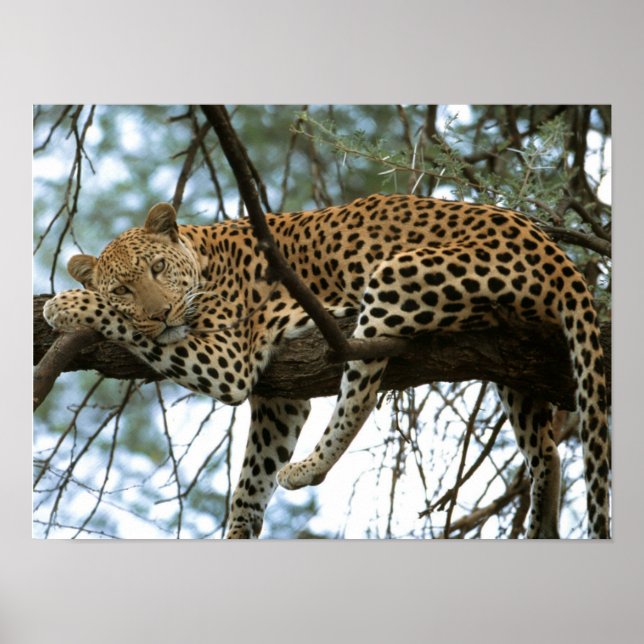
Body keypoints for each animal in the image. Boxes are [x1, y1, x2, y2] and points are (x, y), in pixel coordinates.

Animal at [43, 193, 611, 539]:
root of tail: (555, 251)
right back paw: (540, 526)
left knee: (360, 391)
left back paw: (309, 467)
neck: (204, 257)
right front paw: (239, 531)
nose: (160, 314)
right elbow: (250, 481)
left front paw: (66, 304)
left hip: (394, 276)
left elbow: (133, 332)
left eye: (158, 268)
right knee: (546, 451)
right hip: (515, 366)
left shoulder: (228, 360)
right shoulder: (279, 399)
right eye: (123, 288)